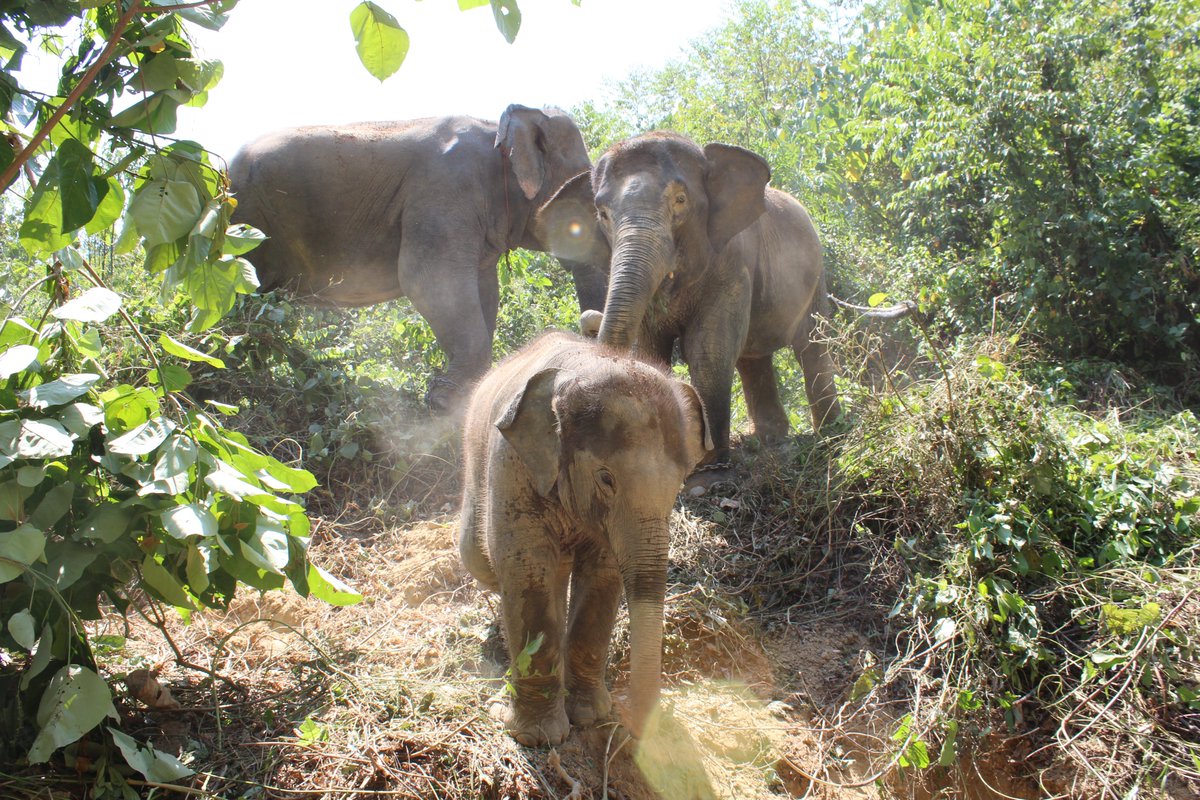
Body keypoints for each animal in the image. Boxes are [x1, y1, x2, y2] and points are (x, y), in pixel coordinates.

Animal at [228, 105, 608, 413]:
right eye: (590, 207)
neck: (497, 131)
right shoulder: (445, 192)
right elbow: (428, 280)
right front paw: (444, 406)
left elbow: (485, 292)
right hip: (246, 220)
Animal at [458, 330, 712, 745]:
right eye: (606, 478)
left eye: (681, 481)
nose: (637, 723)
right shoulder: (511, 464)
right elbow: (526, 567)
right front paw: (539, 737)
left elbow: (603, 574)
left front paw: (591, 715)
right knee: (480, 559)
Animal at [539, 131, 910, 487]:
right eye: (602, 214)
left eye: (680, 200)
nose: (589, 320)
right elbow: (650, 349)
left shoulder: (733, 261)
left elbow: (708, 348)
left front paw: (710, 469)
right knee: (753, 357)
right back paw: (772, 438)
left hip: (816, 275)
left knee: (811, 346)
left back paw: (831, 435)